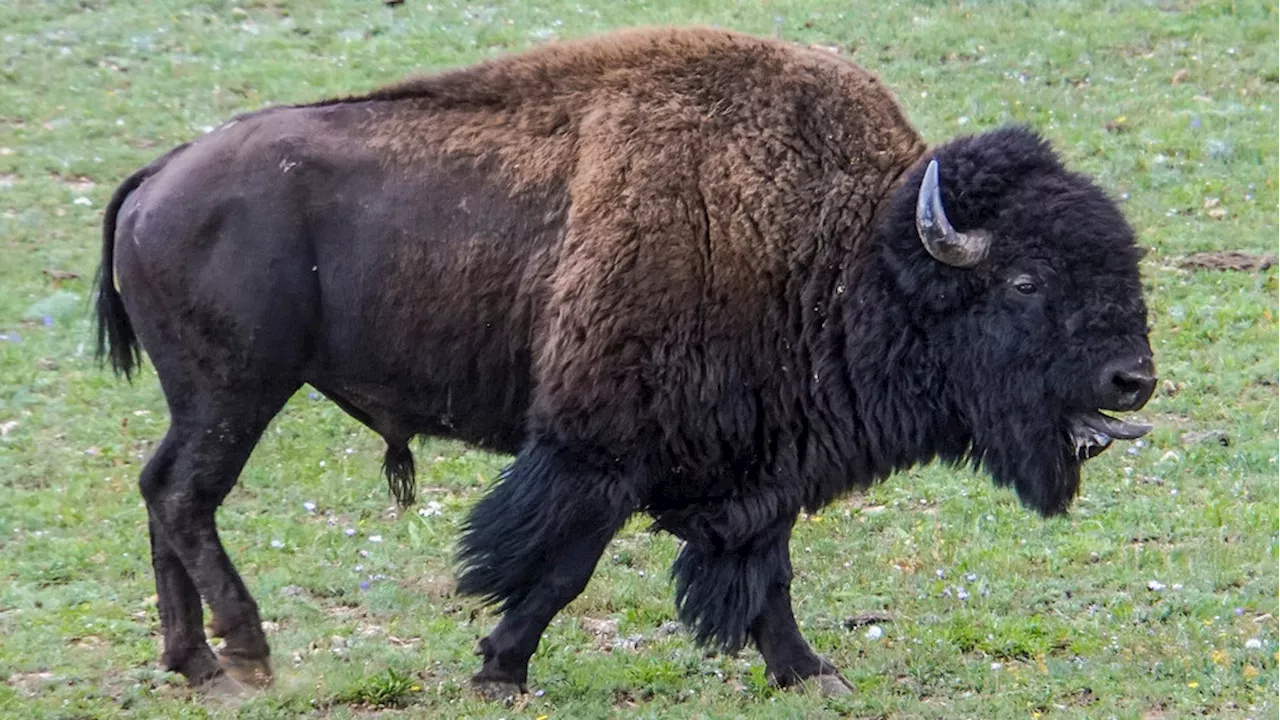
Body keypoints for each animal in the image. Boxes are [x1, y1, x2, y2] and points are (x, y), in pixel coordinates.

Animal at [97, 28, 1162, 696]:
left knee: (159, 492)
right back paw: (248, 654)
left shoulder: (756, 465)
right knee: (187, 498)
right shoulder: (601, 453)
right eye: (1023, 280)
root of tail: (158, 176)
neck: (849, 248)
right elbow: (563, 569)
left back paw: (194, 664)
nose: (1134, 379)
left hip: (206, 400)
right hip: (237, 393)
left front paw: (811, 671)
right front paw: (499, 670)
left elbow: (766, 572)